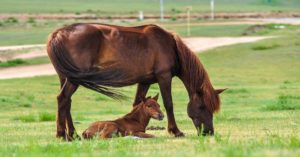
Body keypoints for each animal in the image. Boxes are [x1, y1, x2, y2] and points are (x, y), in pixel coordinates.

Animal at [47, 22, 225, 140]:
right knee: (62, 99)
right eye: (202, 106)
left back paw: (73, 134)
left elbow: (138, 103)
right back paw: (62, 135)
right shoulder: (164, 77)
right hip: (73, 79)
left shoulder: (145, 81)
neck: (170, 46)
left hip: (66, 77)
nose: (209, 132)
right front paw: (176, 131)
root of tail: (57, 34)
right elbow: (169, 104)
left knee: (67, 103)